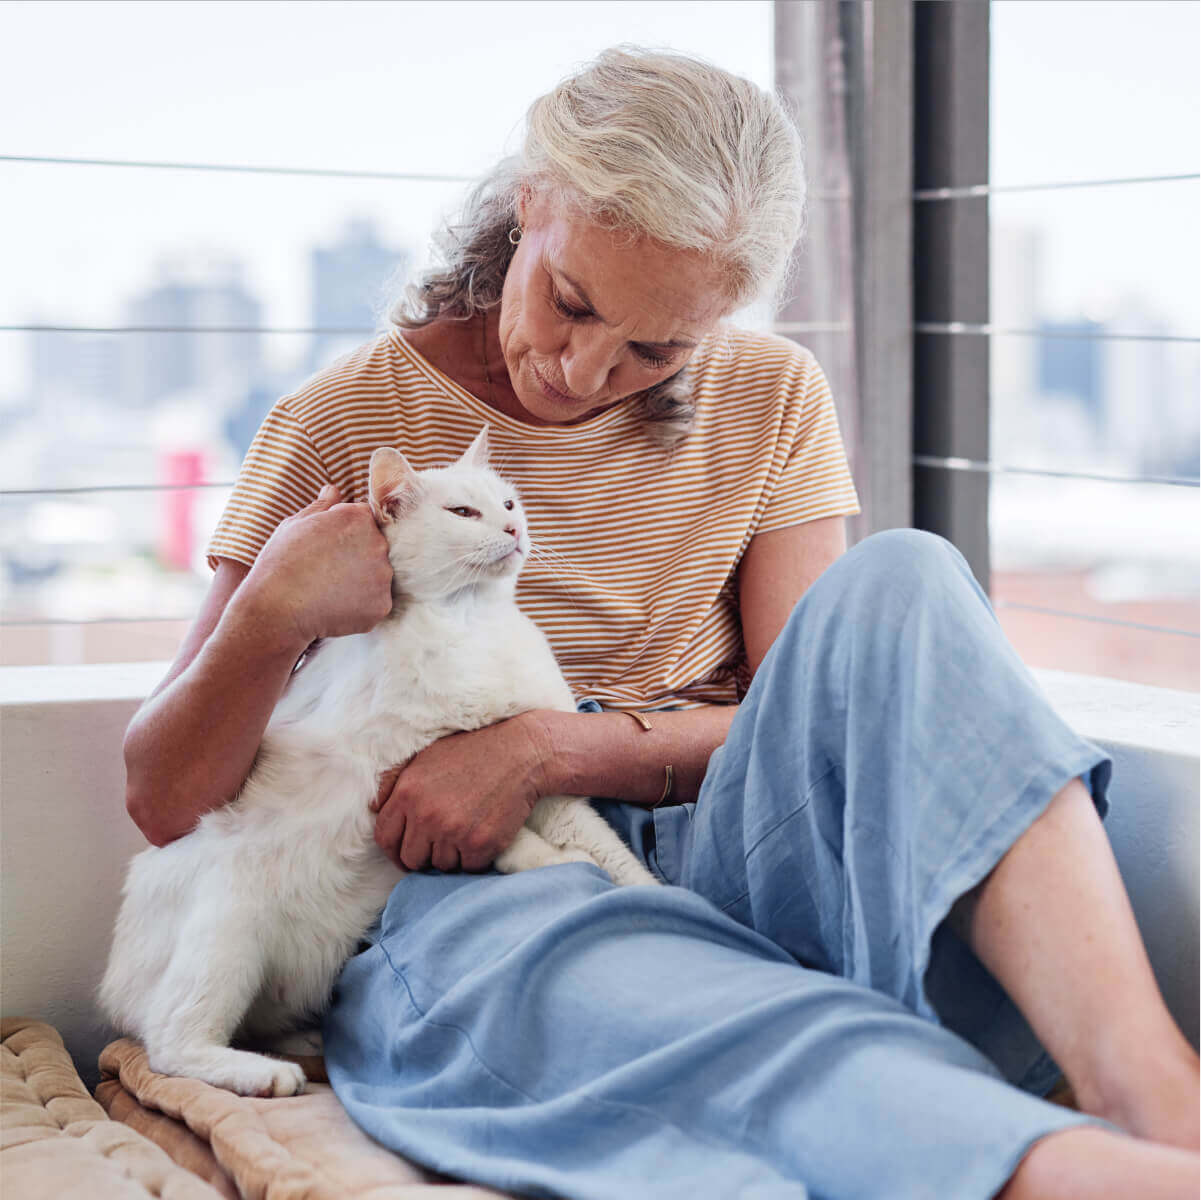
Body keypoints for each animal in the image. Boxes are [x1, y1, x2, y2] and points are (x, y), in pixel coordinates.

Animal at [103, 430, 662, 1100]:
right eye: (463, 512)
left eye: (506, 502)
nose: (512, 527)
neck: (473, 624)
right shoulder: (393, 781)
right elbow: (512, 840)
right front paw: (558, 863)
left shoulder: (545, 788)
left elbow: (613, 853)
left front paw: (660, 897)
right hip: (230, 919)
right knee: (171, 1042)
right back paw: (265, 1074)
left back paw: (304, 1042)